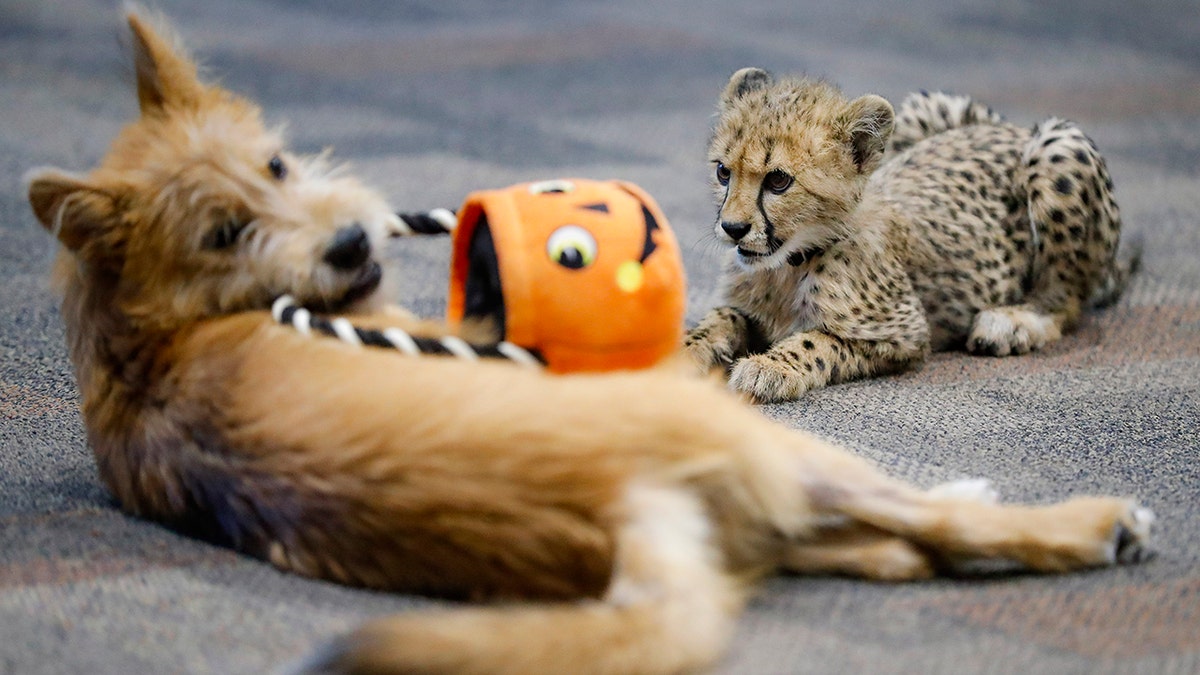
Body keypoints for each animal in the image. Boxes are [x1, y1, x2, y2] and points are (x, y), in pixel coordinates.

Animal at [25, 11, 1152, 672]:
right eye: (723, 171)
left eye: (778, 179)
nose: (731, 228)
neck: (798, 254)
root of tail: (999, 119)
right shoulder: (741, 297)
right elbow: (712, 323)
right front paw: (697, 348)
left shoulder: (896, 330)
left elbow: (813, 345)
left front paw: (768, 365)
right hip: (931, 112)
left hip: (1059, 155)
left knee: (1074, 290)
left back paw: (1019, 321)